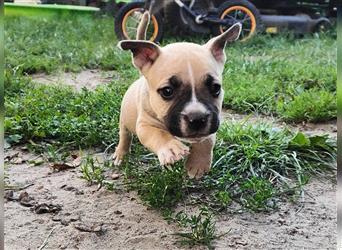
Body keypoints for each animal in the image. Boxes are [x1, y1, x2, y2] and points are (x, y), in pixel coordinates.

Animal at [113, 22, 242, 179]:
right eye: (167, 91)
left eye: (215, 88)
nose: (197, 118)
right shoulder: (144, 125)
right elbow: (158, 134)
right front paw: (171, 148)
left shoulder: (213, 121)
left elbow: (207, 140)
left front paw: (198, 164)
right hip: (124, 120)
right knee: (125, 136)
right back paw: (121, 155)